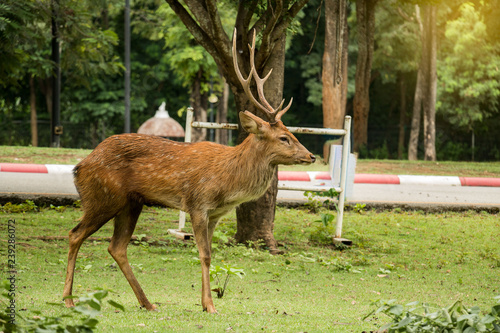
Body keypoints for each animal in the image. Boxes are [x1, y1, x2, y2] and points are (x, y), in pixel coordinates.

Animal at [61, 29, 312, 312]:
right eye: (284, 137)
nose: (311, 155)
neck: (228, 183)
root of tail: (80, 166)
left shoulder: (215, 214)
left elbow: (209, 254)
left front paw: (204, 303)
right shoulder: (197, 204)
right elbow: (204, 254)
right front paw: (211, 305)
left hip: (130, 203)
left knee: (117, 247)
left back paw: (148, 303)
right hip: (102, 197)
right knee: (75, 234)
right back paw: (68, 300)